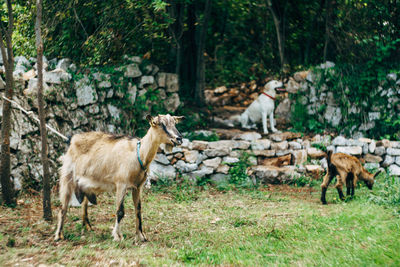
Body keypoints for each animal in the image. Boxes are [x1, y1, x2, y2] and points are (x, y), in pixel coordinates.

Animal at [54, 115, 184, 243]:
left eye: (174, 122)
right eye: (160, 124)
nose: (179, 138)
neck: (138, 154)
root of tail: (72, 140)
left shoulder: (137, 187)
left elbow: (138, 210)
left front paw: (141, 236)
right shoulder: (121, 184)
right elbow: (120, 211)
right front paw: (117, 236)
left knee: (84, 203)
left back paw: (87, 227)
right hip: (67, 176)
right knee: (63, 207)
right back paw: (59, 235)